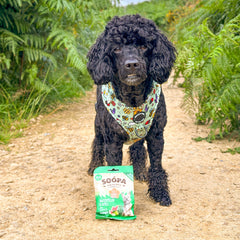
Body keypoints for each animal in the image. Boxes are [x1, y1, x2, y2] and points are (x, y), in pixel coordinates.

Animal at [86, 14, 176, 206]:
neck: (133, 100)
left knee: (137, 148)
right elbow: (114, 166)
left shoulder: (156, 135)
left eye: (144, 45)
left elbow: (156, 166)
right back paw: (93, 166)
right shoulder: (112, 140)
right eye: (116, 48)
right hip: (98, 126)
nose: (132, 64)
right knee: (97, 144)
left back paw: (140, 170)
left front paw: (160, 192)